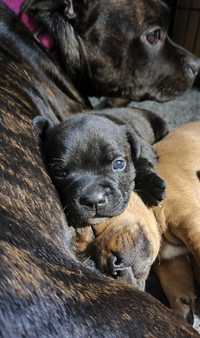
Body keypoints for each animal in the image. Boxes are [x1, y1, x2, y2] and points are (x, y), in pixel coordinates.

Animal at [33, 108, 168, 227]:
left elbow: (141, 163)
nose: (94, 199)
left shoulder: (144, 147)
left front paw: (150, 187)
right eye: (59, 172)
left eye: (119, 164)